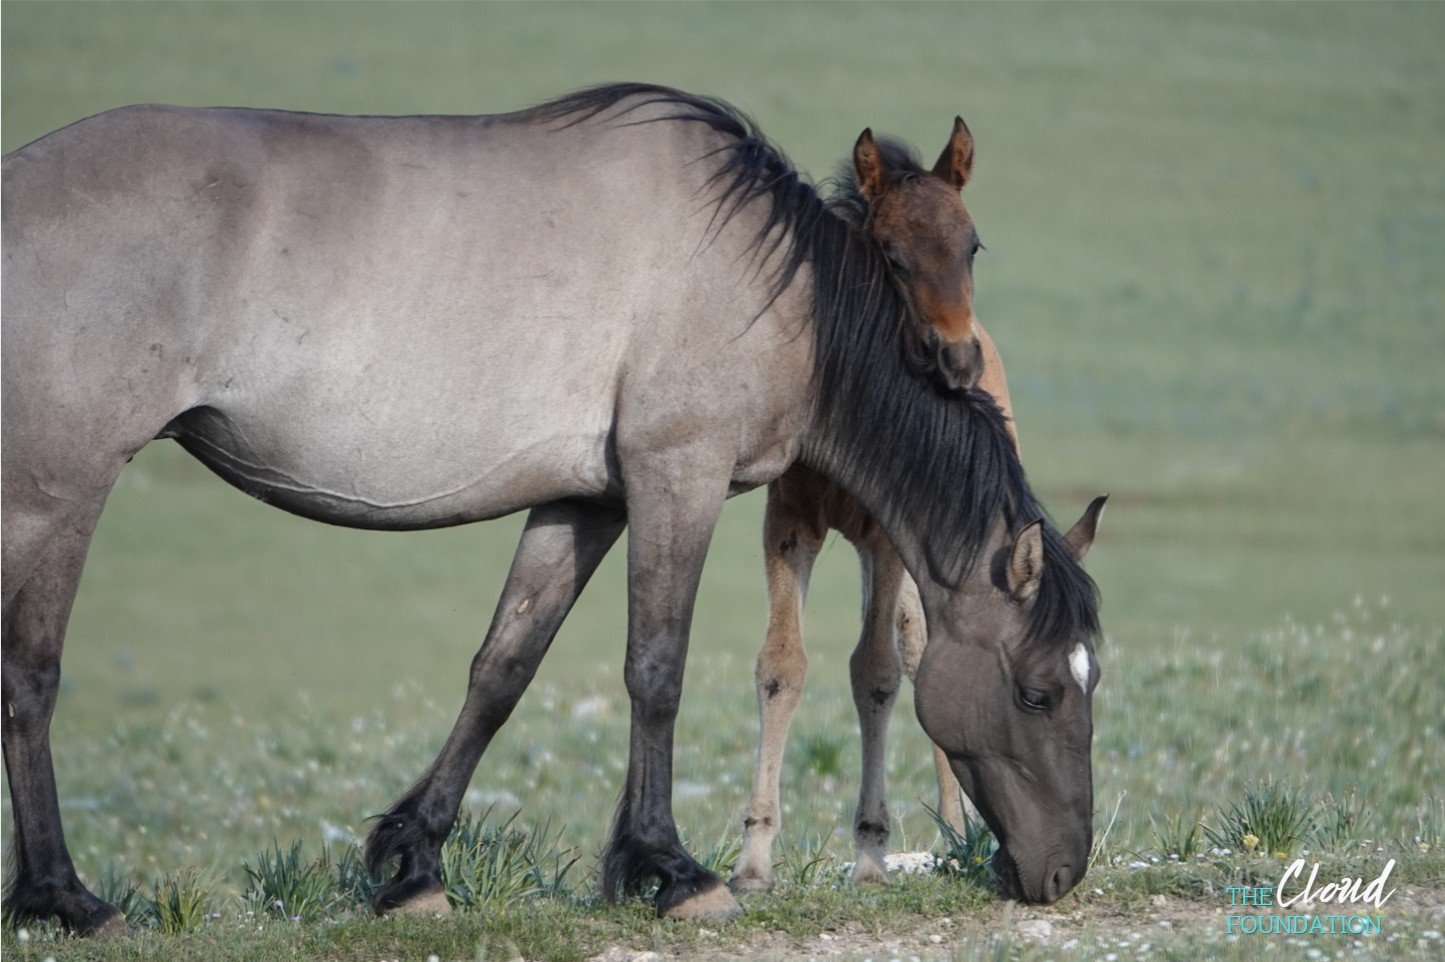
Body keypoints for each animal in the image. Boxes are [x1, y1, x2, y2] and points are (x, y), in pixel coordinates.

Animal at [1, 84, 1104, 934]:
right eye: (1038, 690)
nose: (1059, 872)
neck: (774, 288)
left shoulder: (585, 501)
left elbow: (503, 668)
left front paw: (412, 864)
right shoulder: (676, 479)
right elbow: (655, 670)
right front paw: (671, 870)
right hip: (58, 491)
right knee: (31, 676)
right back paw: (66, 897)